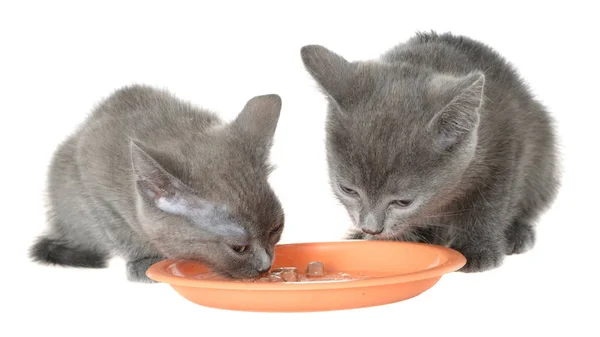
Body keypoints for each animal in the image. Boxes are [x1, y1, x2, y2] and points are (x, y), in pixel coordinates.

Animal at [30, 84, 286, 280]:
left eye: (276, 228)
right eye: (238, 248)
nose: (265, 266)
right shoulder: (93, 189)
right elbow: (118, 231)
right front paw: (146, 261)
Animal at [302, 31, 560, 272]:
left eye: (403, 202)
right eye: (348, 190)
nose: (371, 228)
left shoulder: (504, 149)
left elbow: (490, 204)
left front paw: (477, 250)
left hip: (544, 158)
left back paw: (517, 234)